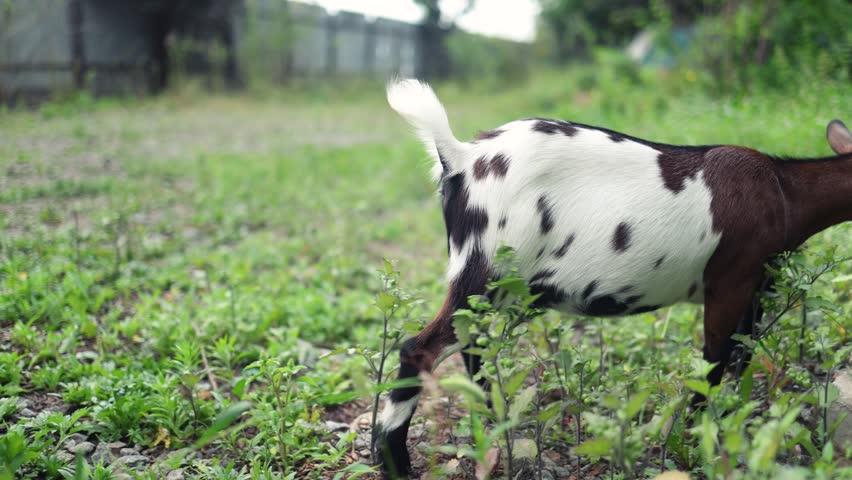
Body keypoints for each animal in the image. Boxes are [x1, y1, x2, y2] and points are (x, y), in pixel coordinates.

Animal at [374, 78, 852, 478]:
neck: (782, 190)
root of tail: (459, 158)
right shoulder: (730, 279)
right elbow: (713, 363)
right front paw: (698, 437)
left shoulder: (756, 289)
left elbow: (742, 355)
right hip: (487, 272)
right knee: (421, 348)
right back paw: (398, 463)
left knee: (474, 350)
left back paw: (497, 427)